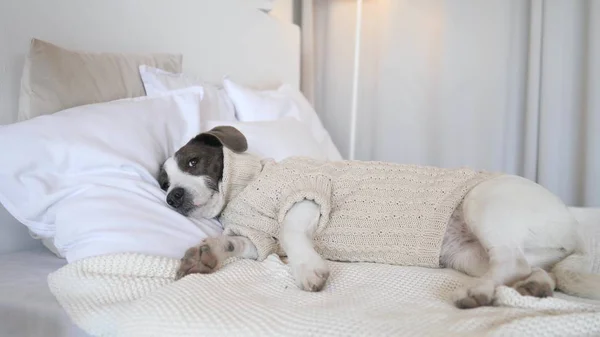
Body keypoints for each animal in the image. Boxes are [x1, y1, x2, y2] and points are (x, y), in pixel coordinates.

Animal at [159, 125, 600, 308]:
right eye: (162, 180)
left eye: (193, 162)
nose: (171, 196)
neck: (248, 184)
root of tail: (573, 231)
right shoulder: (254, 239)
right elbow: (233, 244)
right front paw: (205, 253)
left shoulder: (310, 196)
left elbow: (288, 229)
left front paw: (307, 269)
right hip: (469, 255)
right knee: (528, 267)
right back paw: (534, 286)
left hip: (483, 202)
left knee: (511, 261)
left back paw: (478, 294)